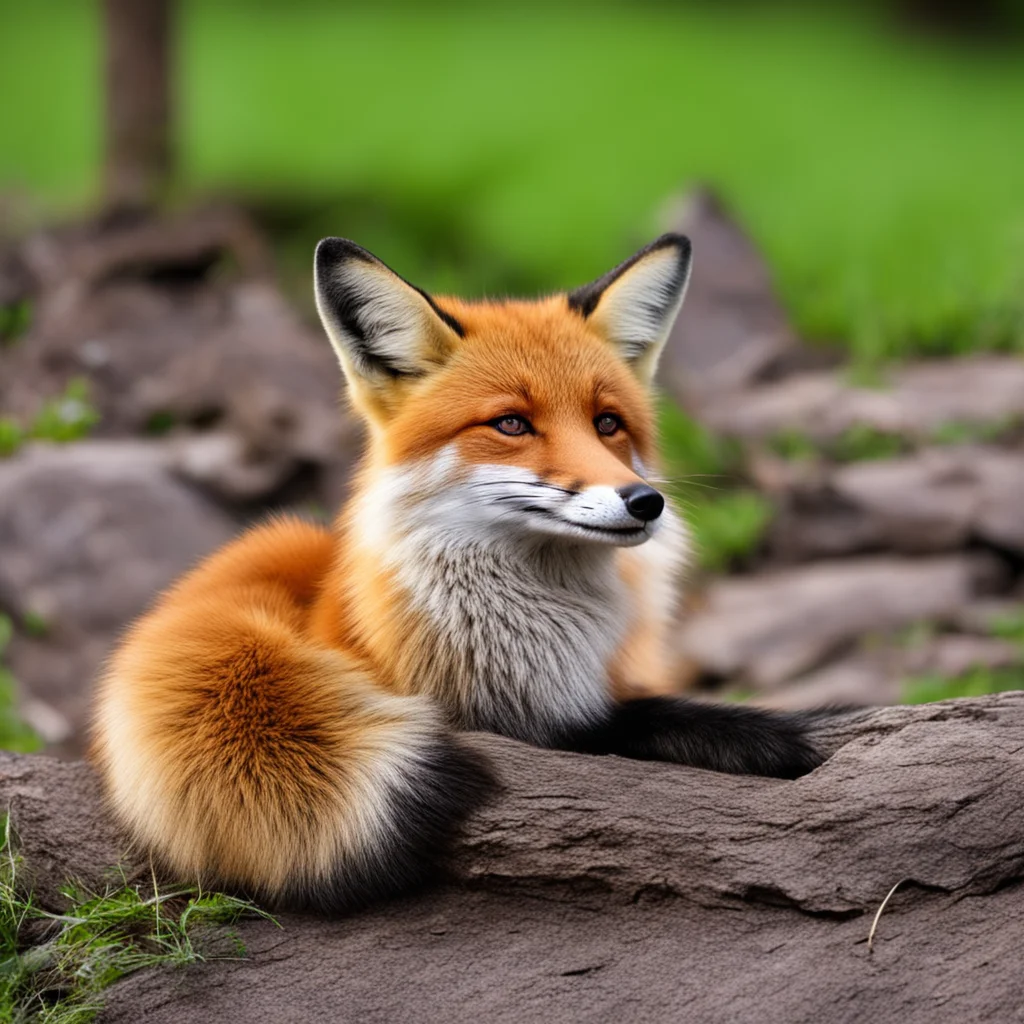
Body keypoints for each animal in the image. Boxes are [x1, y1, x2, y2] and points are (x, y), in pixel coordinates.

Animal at [91, 232, 826, 913]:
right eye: (511, 423)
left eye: (608, 423)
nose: (644, 502)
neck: (526, 645)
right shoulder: (529, 721)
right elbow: (637, 725)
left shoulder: (591, 698)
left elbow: (668, 717)